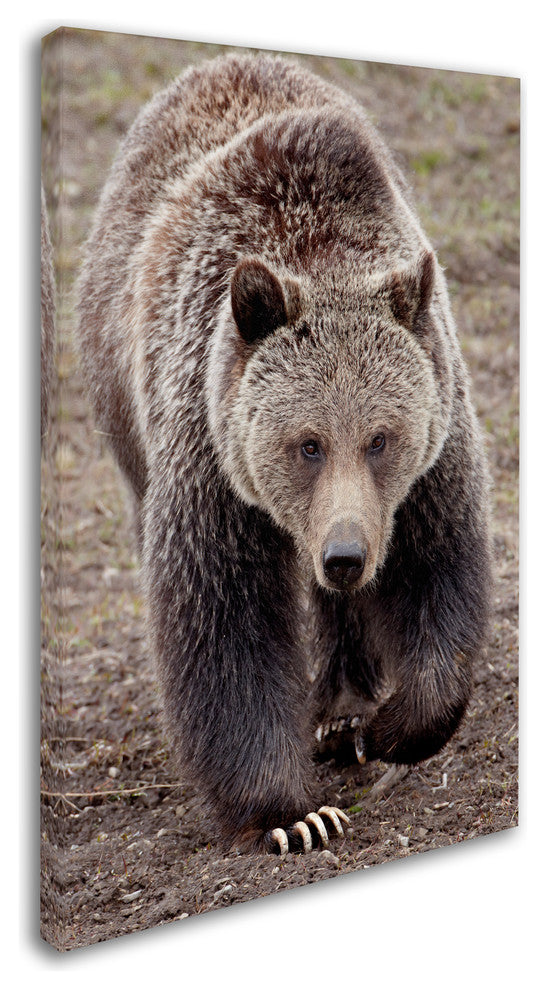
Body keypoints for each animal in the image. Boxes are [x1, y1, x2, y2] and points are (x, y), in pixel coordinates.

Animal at [77, 53, 492, 854]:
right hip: (124, 406)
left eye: (379, 438)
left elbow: (439, 571)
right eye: (307, 444)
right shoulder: (210, 454)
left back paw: (341, 706)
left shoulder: (429, 458)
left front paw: (385, 727)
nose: (344, 555)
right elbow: (222, 625)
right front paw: (293, 815)